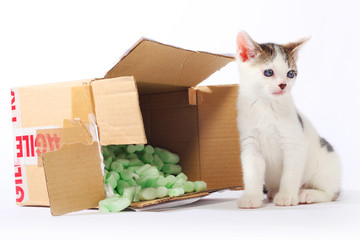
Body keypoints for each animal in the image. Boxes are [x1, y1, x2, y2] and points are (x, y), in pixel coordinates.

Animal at [236, 31, 340, 208]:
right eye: (268, 72)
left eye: (290, 73)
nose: (283, 85)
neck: (266, 105)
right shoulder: (250, 145)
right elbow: (252, 172)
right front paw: (251, 197)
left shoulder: (295, 144)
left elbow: (290, 174)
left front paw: (286, 196)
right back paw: (273, 192)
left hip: (327, 166)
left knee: (331, 193)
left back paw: (307, 193)